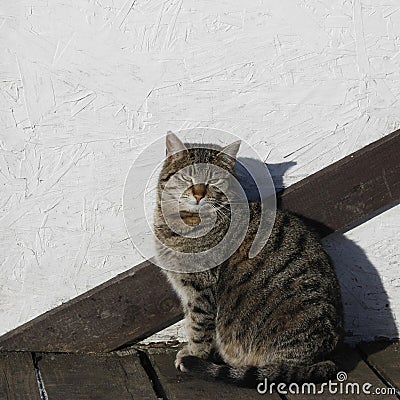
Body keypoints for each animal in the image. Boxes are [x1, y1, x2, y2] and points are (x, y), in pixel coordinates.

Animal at [153, 132, 344, 388]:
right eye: (187, 176)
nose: (198, 194)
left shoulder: (200, 290)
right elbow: (192, 322)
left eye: (214, 180)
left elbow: (198, 326)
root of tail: (328, 356)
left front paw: (193, 354)